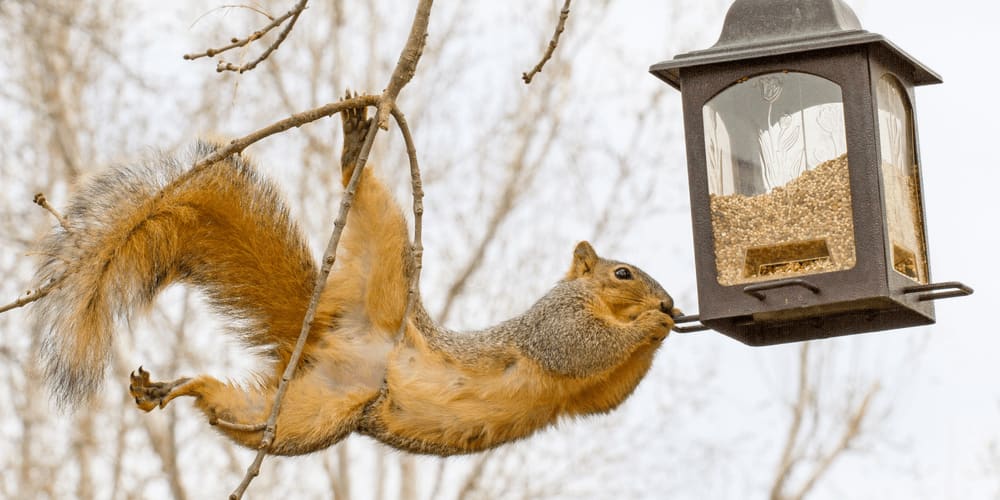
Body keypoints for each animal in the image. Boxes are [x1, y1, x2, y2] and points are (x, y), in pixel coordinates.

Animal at [37, 94, 680, 458]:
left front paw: (665, 324)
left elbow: (608, 391)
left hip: (308, 417)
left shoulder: (584, 398)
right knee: (372, 206)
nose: (671, 301)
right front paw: (651, 323)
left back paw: (175, 388)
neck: (591, 298)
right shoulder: (552, 324)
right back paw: (352, 145)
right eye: (623, 272)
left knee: (232, 411)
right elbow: (579, 347)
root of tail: (332, 337)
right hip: (388, 262)